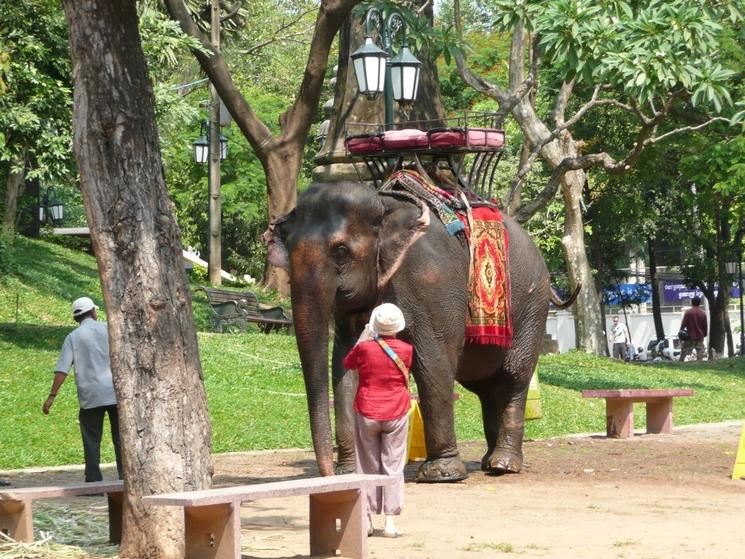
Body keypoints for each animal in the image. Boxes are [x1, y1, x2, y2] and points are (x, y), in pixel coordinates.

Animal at [264, 182, 580, 484]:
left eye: (341, 252)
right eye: (289, 249)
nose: (328, 474)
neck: (383, 205)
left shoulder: (431, 283)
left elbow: (434, 361)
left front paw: (442, 474)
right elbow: (346, 362)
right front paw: (352, 474)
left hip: (533, 304)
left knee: (513, 376)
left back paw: (503, 465)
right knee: (485, 385)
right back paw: (488, 462)